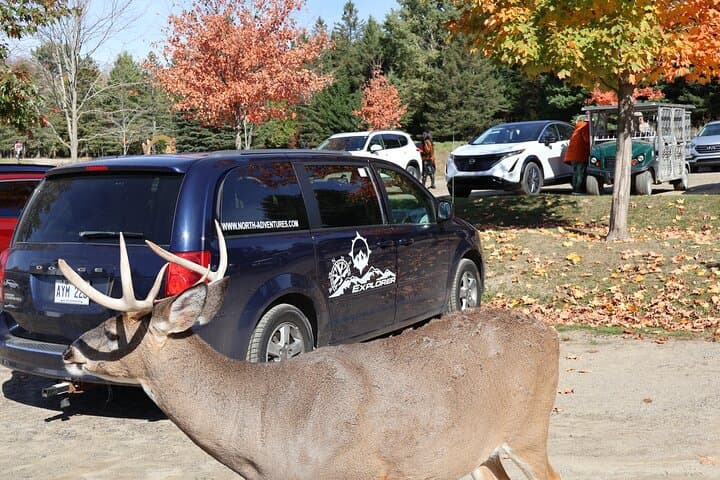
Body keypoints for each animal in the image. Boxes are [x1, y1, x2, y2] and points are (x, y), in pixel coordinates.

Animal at [59, 221, 561, 480]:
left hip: (530, 430)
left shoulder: (359, 472)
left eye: (112, 333)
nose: (68, 352)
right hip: (477, 449)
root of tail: (549, 333)